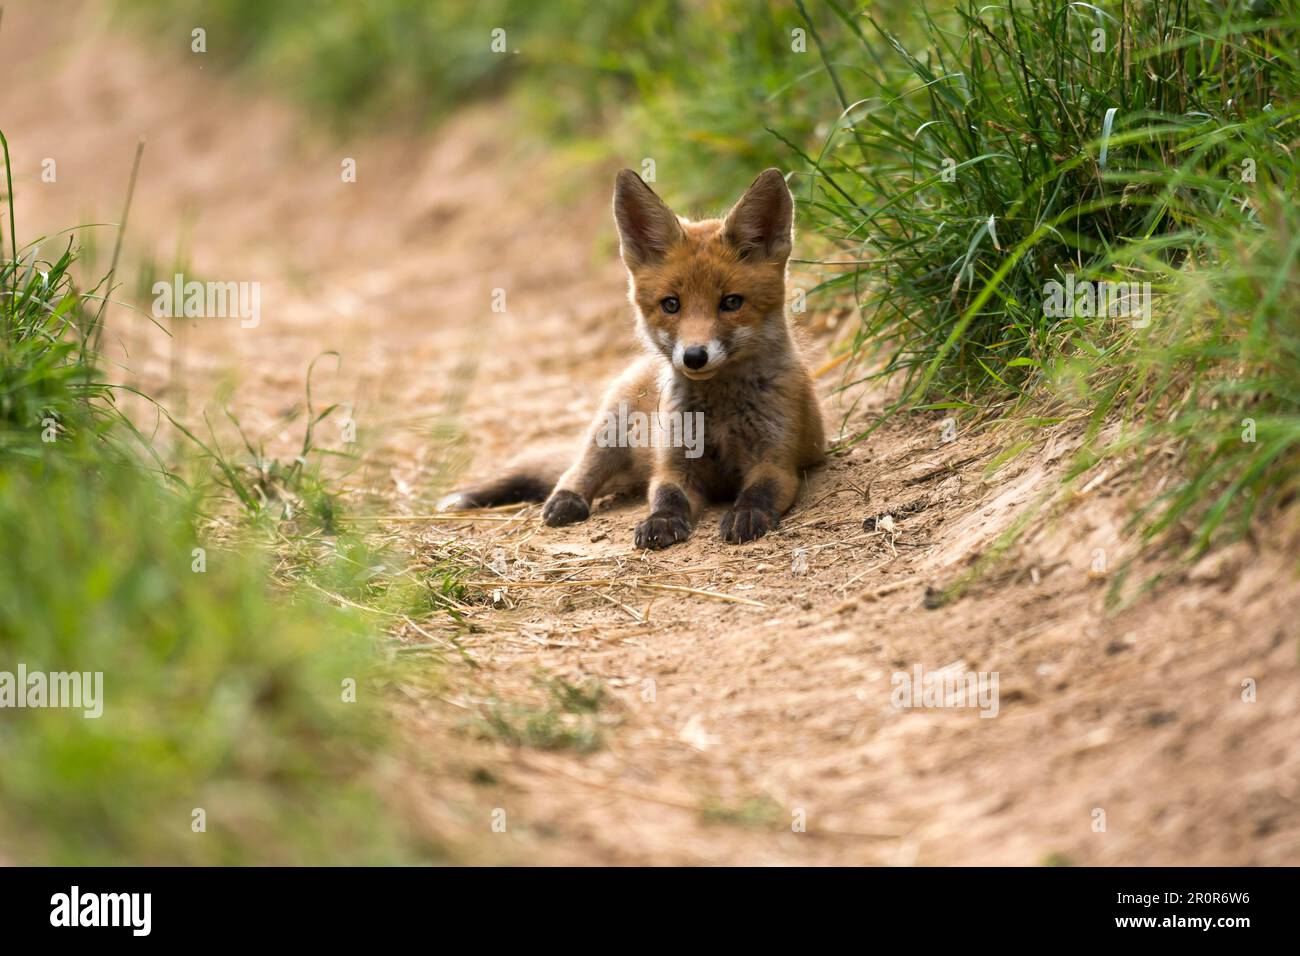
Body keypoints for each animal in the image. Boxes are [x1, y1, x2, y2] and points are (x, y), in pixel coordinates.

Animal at [436, 167, 821, 548]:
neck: (720, 412)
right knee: (575, 470)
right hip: (611, 428)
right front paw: (660, 521)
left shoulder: (776, 462)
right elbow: (667, 496)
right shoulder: (672, 465)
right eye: (671, 304)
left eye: (731, 302)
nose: (694, 356)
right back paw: (566, 501)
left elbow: (759, 492)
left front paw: (746, 514)